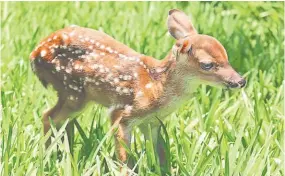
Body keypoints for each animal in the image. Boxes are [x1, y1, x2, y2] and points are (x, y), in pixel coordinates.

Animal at [30, 9, 245, 166]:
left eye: (226, 56)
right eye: (207, 65)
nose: (240, 81)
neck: (158, 87)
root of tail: (35, 54)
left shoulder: (152, 122)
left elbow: (159, 153)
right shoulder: (122, 113)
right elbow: (124, 156)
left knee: (62, 121)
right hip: (73, 92)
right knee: (48, 116)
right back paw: (48, 158)